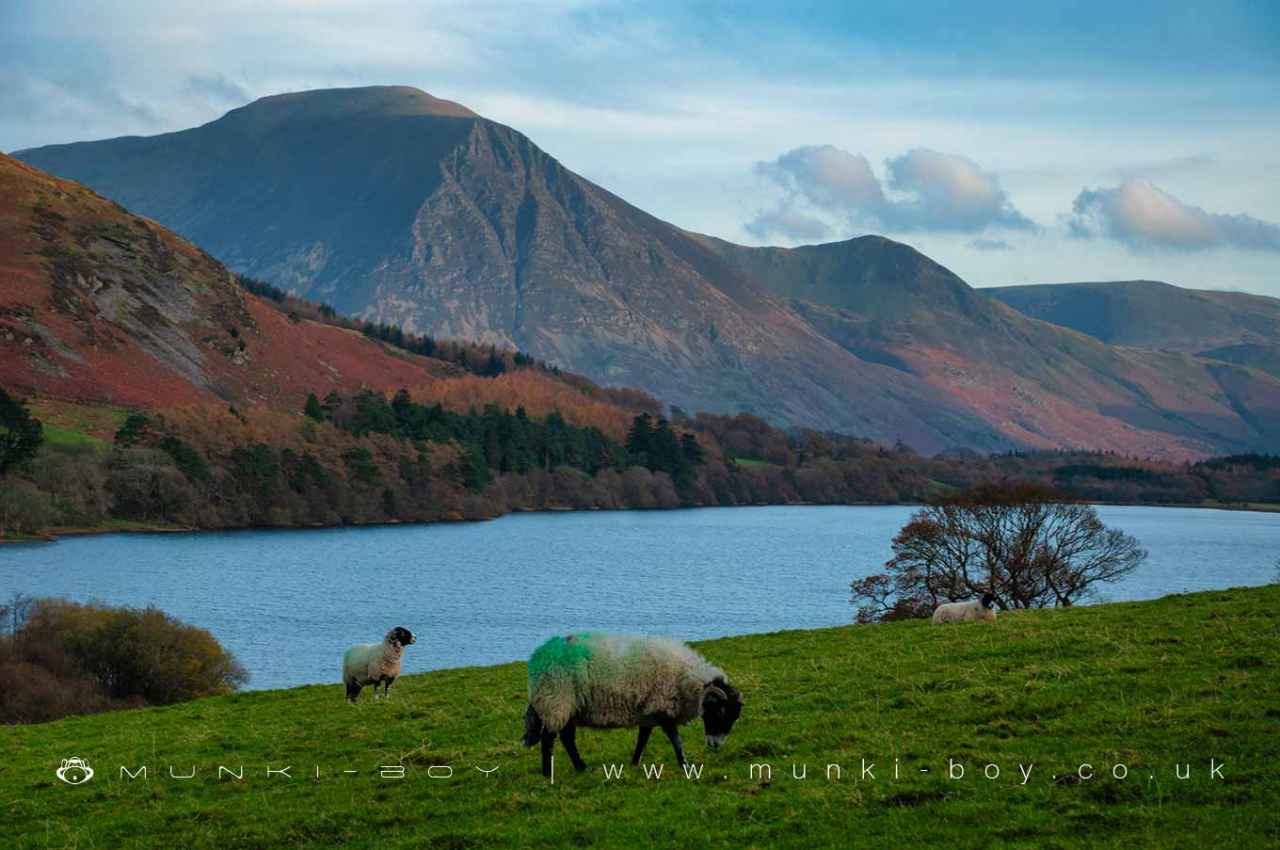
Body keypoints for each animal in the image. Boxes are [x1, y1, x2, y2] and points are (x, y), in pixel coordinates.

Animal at [517, 629, 742, 778]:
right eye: (719, 712)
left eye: (733, 717)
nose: (715, 745)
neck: (685, 679)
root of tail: (537, 658)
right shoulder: (661, 706)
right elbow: (675, 739)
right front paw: (685, 765)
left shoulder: (648, 712)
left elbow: (643, 739)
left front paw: (635, 762)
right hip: (556, 702)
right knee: (549, 738)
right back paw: (548, 773)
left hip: (570, 708)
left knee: (566, 738)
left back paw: (581, 768)